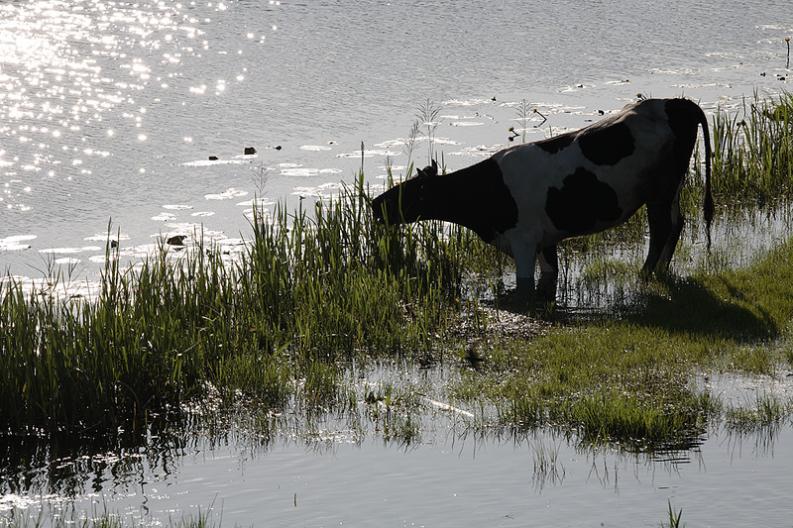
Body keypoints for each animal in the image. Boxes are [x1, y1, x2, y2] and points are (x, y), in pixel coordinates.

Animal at [372, 96, 712, 300]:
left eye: (405, 192)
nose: (374, 204)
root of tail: (676, 102)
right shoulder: (546, 240)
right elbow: (550, 274)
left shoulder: (523, 241)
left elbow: (525, 283)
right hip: (674, 188)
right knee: (677, 223)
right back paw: (661, 271)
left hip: (658, 190)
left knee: (660, 229)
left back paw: (644, 275)